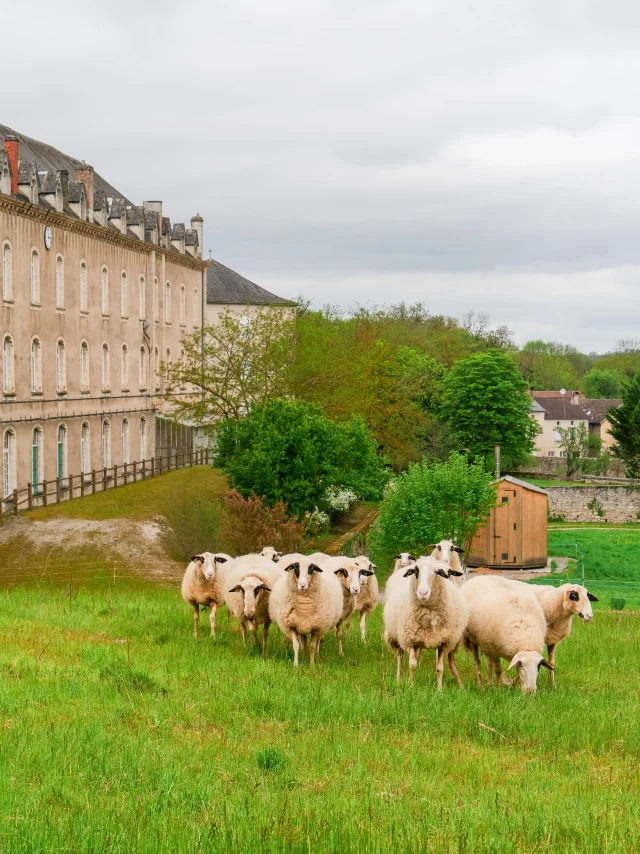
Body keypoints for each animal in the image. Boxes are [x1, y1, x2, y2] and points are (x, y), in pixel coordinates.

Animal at [382, 560, 468, 692]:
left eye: (437, 572)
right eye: (416, 571)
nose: (423, 592)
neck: (429, 616)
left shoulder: (444, 643)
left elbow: (440, 668)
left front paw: (439, 690)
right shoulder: (410, 640)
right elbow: (412, 665)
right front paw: (410, 685)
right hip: (397, 637)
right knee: (400, 657)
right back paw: (398, 679)